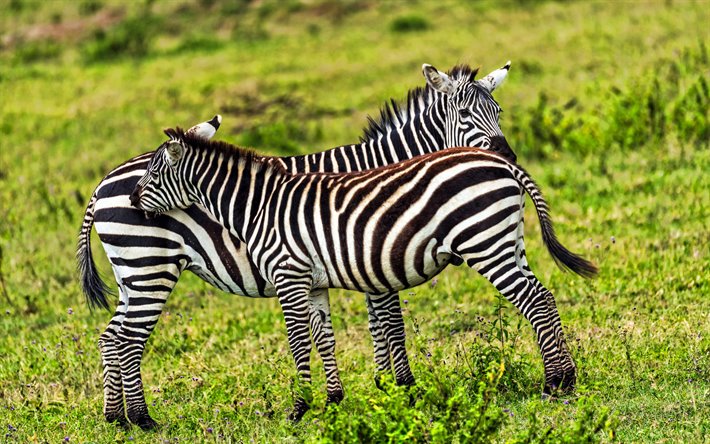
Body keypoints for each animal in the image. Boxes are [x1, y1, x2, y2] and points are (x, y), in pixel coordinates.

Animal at [78, 60, 516, 428]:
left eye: (499, 112)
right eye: (464, 115)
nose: (506, 157)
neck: (386, 171)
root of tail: (103, 184)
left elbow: (374, 324)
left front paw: (382, 387)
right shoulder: (373, 254)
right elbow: (389, 323)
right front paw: (399, 388)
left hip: (130, 275)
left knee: (111, 338)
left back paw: (116, 418)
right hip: (150, 268)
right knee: (128, 340)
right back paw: (142, 418)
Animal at [131, 127, 596, 420]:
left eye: (153, 173)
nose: (133, 200)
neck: (260, 207)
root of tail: (502, 163)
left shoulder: (288, 275)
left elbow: (298, 343)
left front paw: (299, 408)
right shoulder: (314, 282)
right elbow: (323, 337)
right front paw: (333, 402)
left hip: (485, 242)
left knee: (534, 300)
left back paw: (556, 382)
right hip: (507, 240)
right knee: (544, 297)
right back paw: (565, 379)